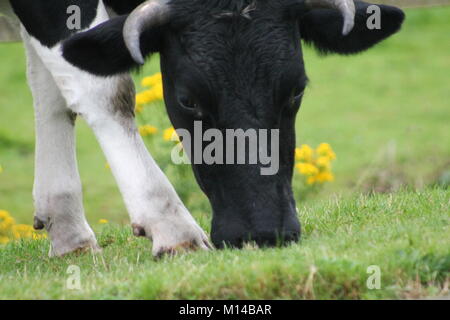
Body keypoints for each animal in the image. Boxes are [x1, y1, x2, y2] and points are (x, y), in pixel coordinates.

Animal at [0, 0, 406, 255]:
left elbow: (52, 91)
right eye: (188, 100)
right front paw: (171, 227)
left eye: (296, 89)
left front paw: (67, 229)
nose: (263, 232)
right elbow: (105, 88)